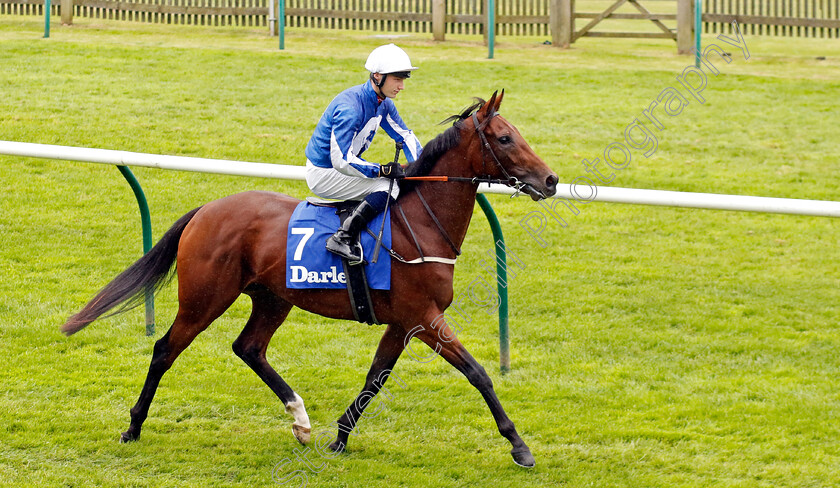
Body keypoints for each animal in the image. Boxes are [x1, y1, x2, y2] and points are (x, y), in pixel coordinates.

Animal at [60, 91, 556, 468]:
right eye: (505, 138)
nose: (550, 180)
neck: (421, 223)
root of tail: (205, 210)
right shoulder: (424, 316)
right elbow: (478, 373)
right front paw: (520, 447)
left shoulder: (404, 322)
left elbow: (374, 379)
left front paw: (339, 438)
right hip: (205, 299)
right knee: (165, 349)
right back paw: (133, 426)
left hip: (273, 298)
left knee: (249, 348)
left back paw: (300, 420)